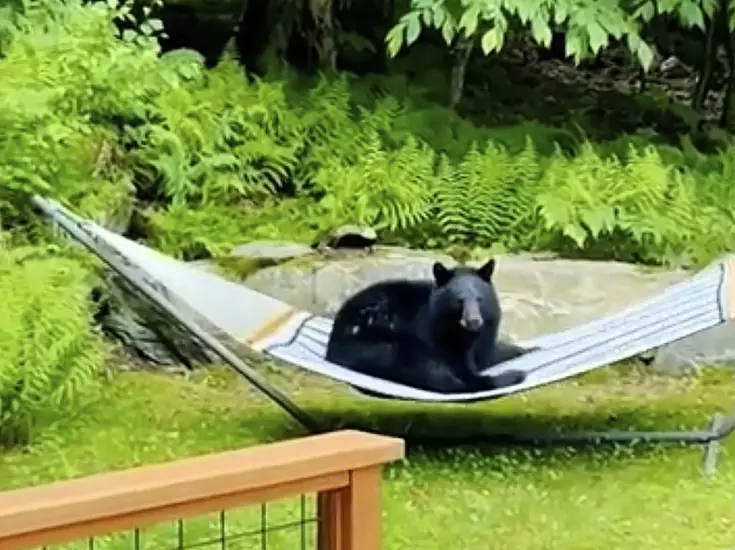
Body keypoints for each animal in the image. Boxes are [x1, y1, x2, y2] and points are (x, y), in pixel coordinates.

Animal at [324, 260, 532, 396]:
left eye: (479, 300)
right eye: (459, 301)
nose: (474, 321)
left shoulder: (485, 335)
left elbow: (492, 352)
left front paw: (527, 349)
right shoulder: (436, 334)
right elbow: (460, 367)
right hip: (383, 343)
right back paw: (514, 376)